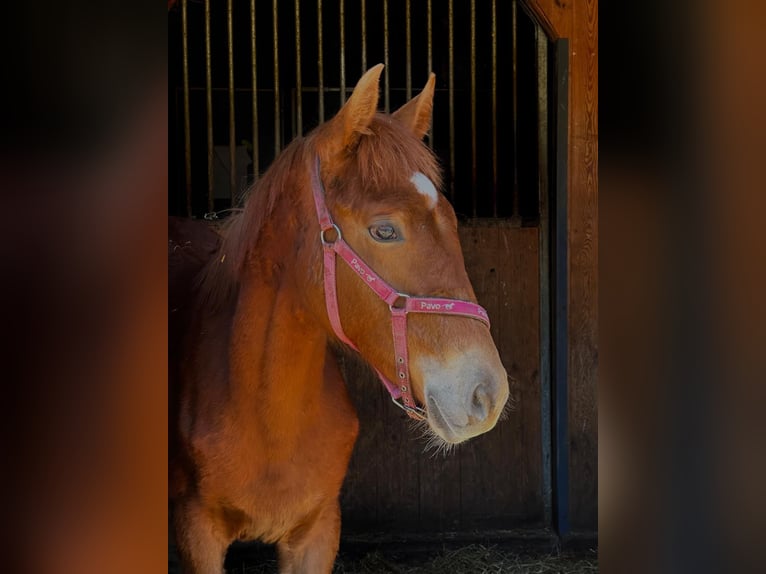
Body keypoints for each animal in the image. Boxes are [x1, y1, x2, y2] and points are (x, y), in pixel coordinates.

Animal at [171, 65, 512, 572]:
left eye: (452, 219)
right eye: (384, 230)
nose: (486, 394)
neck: (267, 417)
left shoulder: (317, 533)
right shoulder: (197, 534)